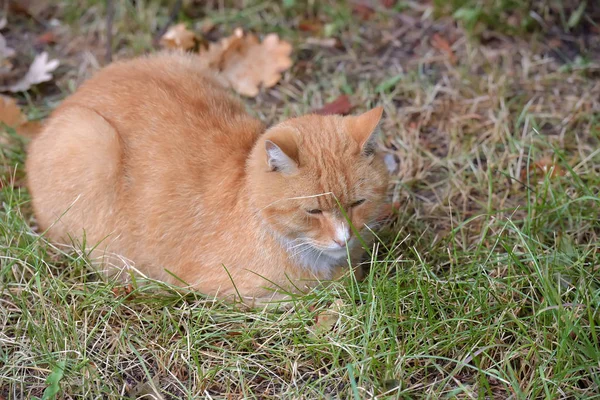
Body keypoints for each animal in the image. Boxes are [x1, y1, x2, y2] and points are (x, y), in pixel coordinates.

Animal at [25, 51, 390, 304]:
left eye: (358, 203)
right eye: (313, 211)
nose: (343, 238)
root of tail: (69, 102)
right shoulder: (230, 292)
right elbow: (322, 290)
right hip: (89, 140)